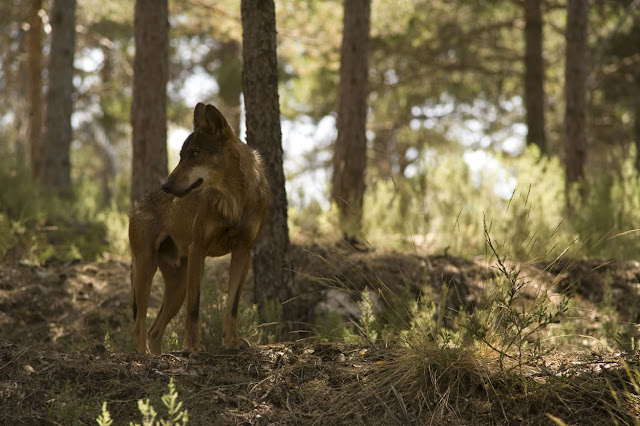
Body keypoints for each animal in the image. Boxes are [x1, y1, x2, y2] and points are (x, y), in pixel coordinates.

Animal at [129, 102, 268, 352]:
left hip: (177, 288)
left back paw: (157, 356)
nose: (166, 186)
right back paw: (142, 357)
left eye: (195, 154)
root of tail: (139, 203)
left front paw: (231, 341)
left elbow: (232, 306)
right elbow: (194, 308)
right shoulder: (198, 250)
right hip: (146, 270)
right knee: (139, 325)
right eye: (181, 156)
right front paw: (193, 346)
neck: (234, 201)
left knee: (155, 330)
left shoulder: (243, 252)